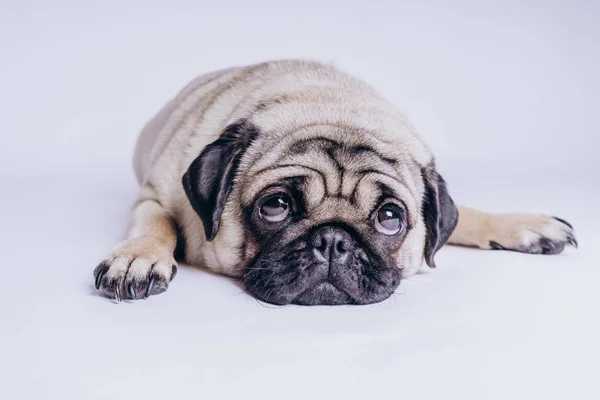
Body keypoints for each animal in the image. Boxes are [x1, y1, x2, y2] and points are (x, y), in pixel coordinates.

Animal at [92, 59, 576, 304]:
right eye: (275, 207)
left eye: (390, 218)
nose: (333, 240)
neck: (328, 102)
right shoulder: (156, 195)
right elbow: (157, 223)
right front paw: (138, 257)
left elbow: (461, 217)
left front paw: (520, 225)